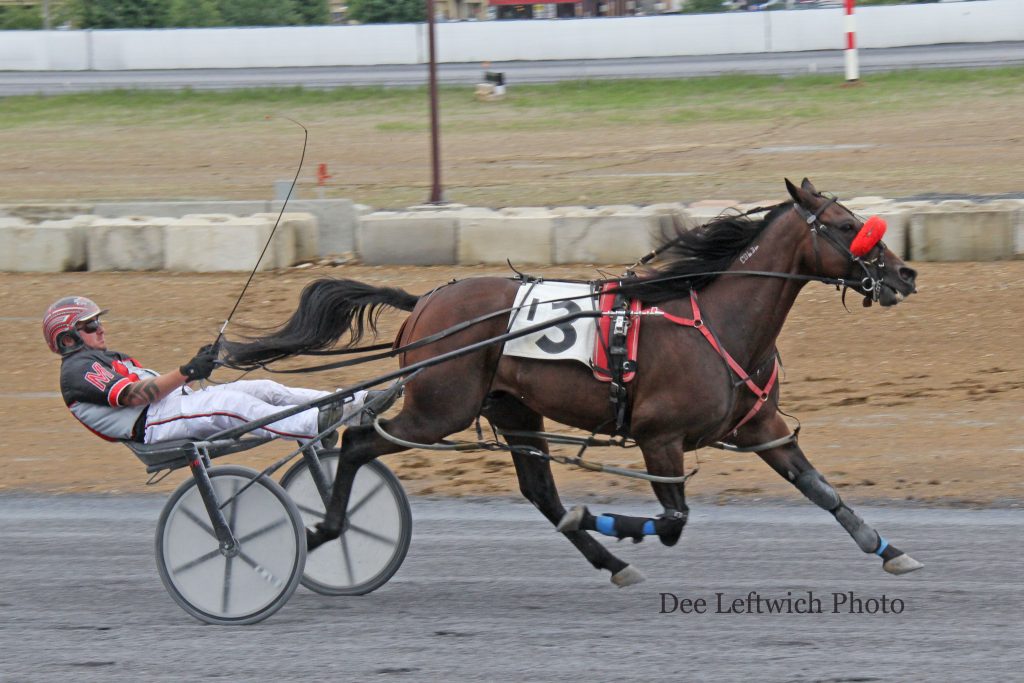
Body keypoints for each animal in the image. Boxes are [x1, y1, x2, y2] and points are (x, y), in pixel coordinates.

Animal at [226, 179, 929, 585]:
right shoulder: (659, 437)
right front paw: (605, 515)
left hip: (511, 410)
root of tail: (425, 300)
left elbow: (820, 488)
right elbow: (673, 519)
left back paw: (608, 560)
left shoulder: (762, 426)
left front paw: (887, 547)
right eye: (847, 226)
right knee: (358, 441)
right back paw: (325, 527)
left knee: (540, 492)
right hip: (439, 409)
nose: (905, 274)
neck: (719, 324)